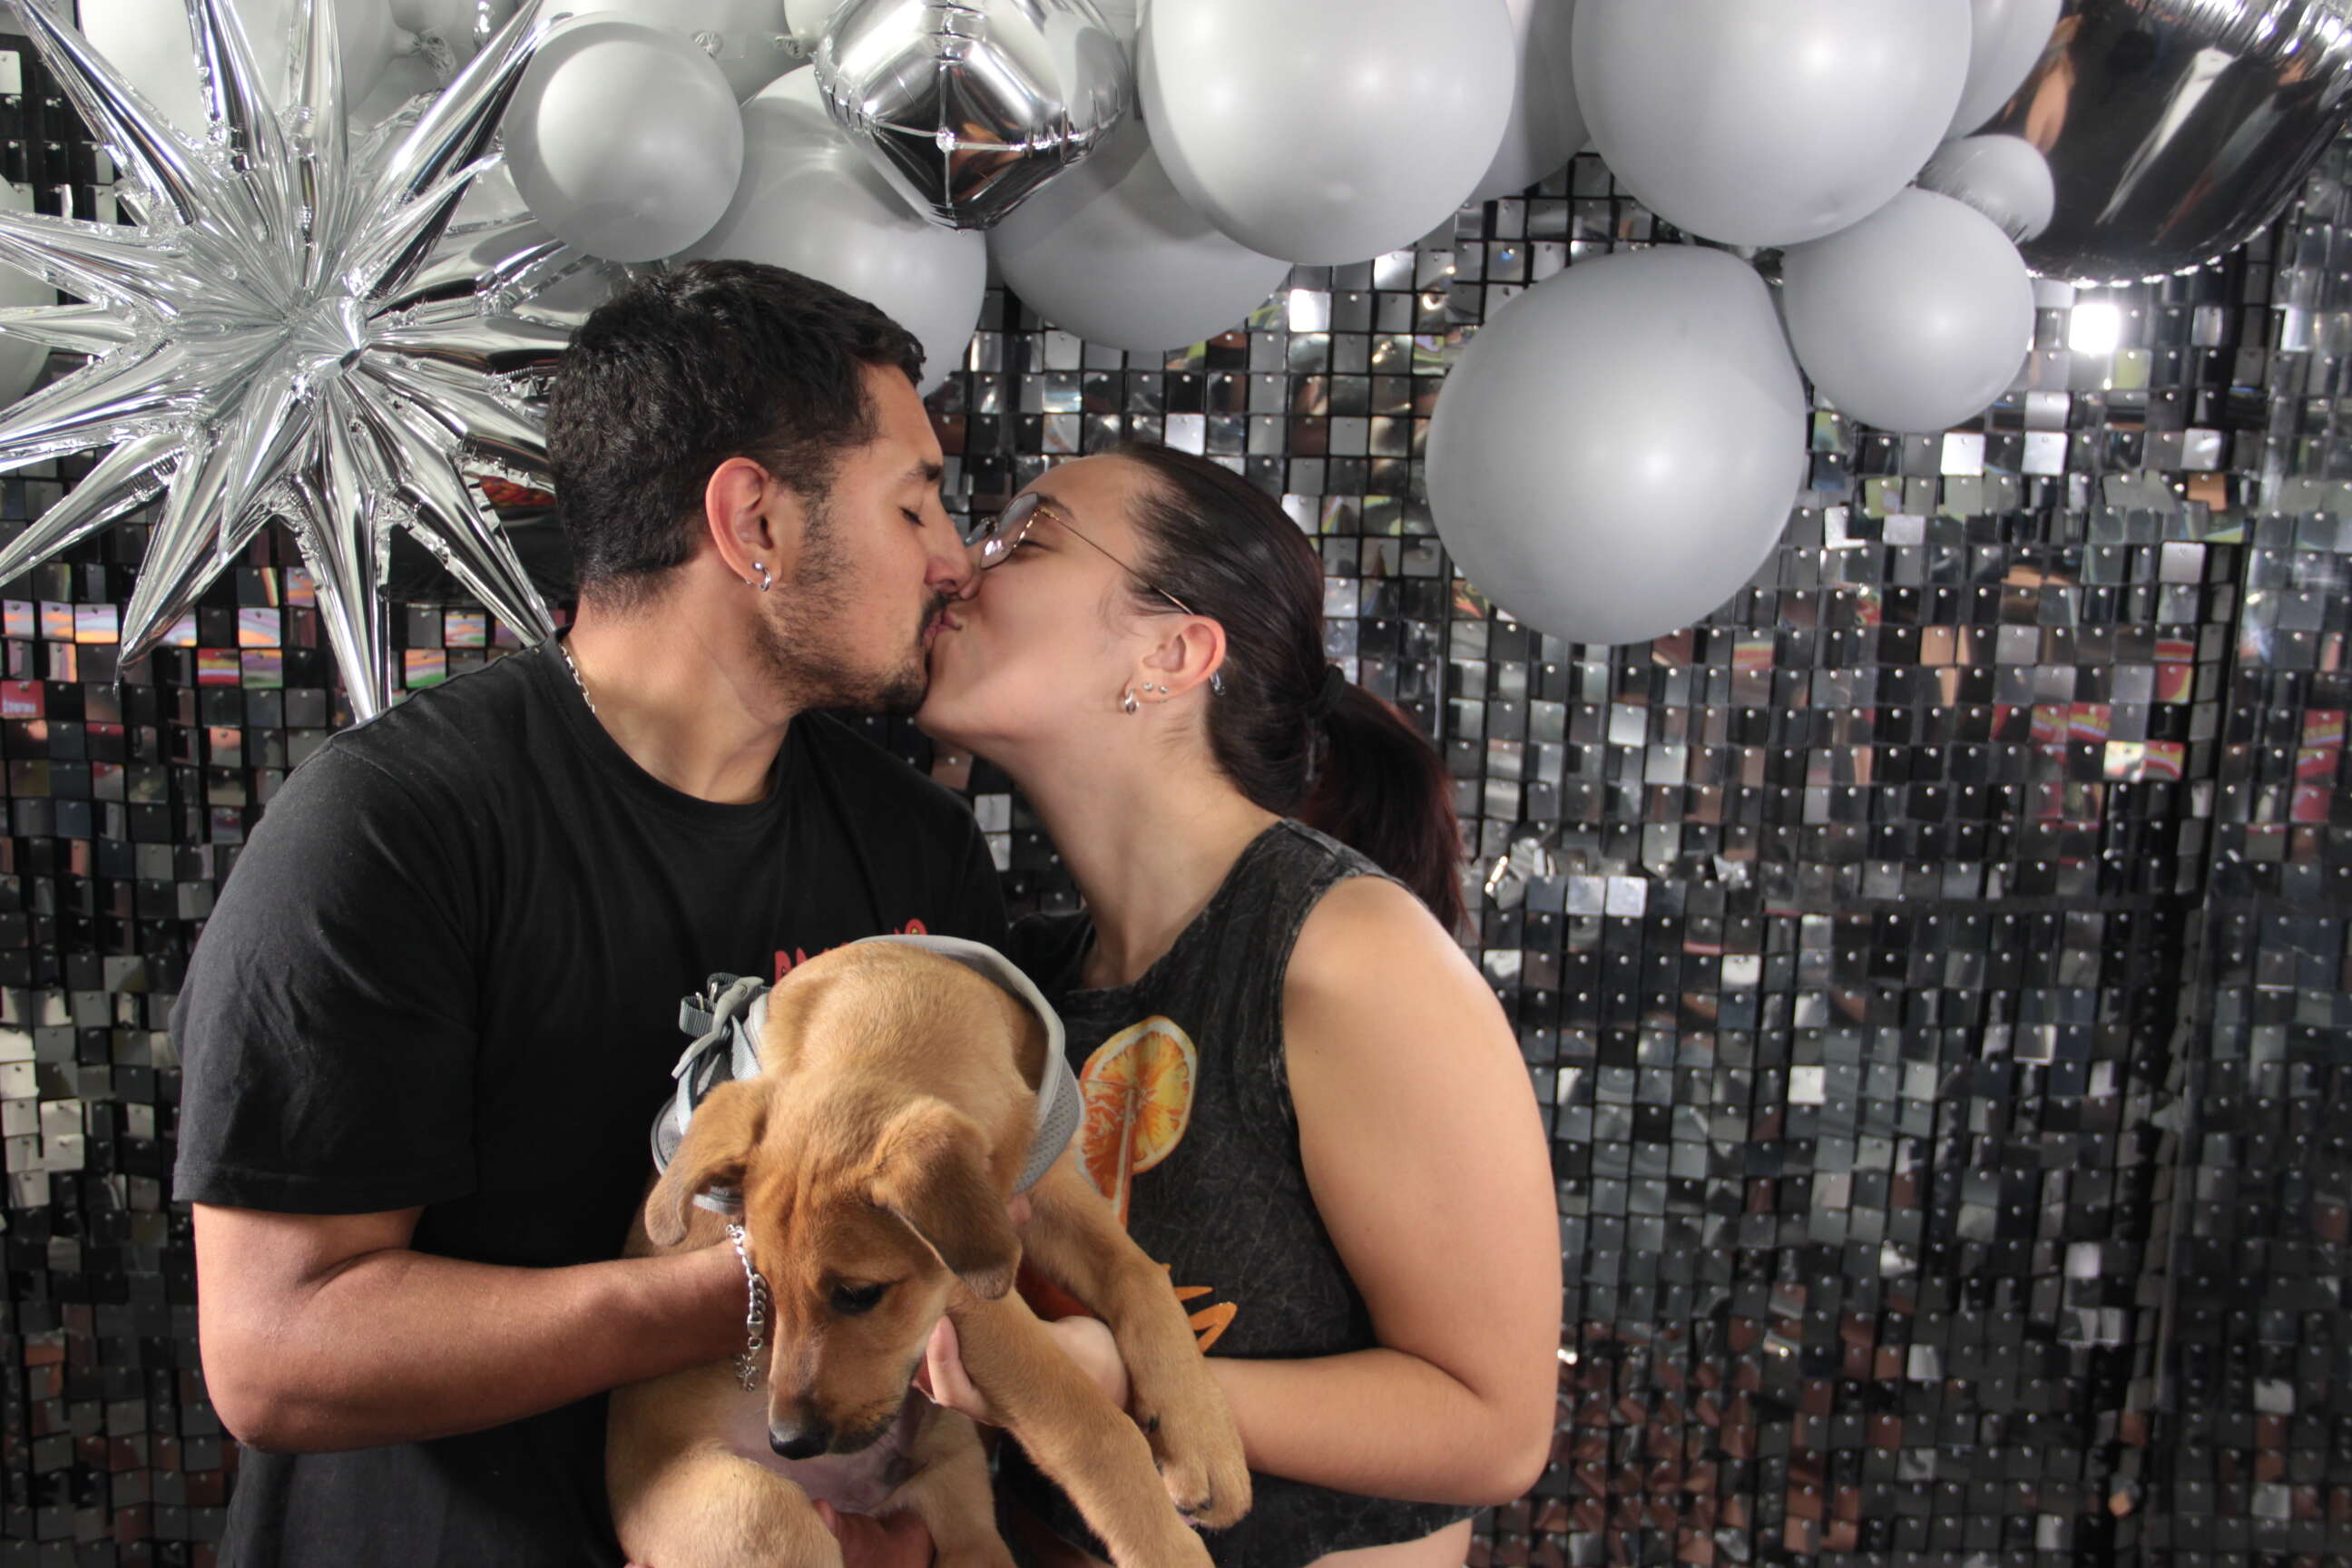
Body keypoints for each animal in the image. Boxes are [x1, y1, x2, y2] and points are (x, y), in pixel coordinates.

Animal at [609, 936, 1251, 1568]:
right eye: (759, 1284)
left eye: (859, 1295)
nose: (789, 1443)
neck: (894, 1005)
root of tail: (855, 1496)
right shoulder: (969, 1285)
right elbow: (1088, 1423)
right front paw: (1166, 1546)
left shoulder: (1049, 1193)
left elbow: (1142, 1277)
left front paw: (1205, 1442)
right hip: (761, 1515)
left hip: (952, 1473)